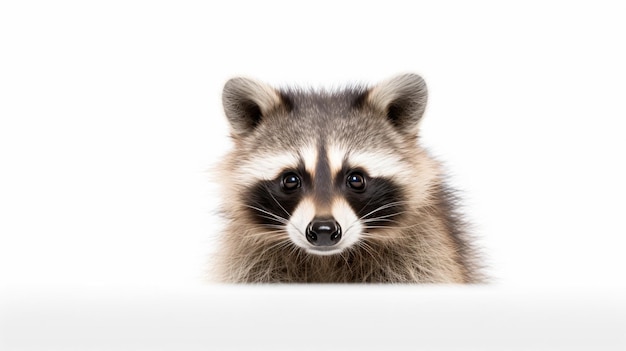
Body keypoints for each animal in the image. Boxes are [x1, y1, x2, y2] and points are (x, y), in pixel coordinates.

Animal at [212, 73, 480, 284]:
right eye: (291, 180)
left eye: (356, 179)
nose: (323, 230)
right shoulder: (248, 262)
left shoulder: (423, 253)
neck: (325, 259)